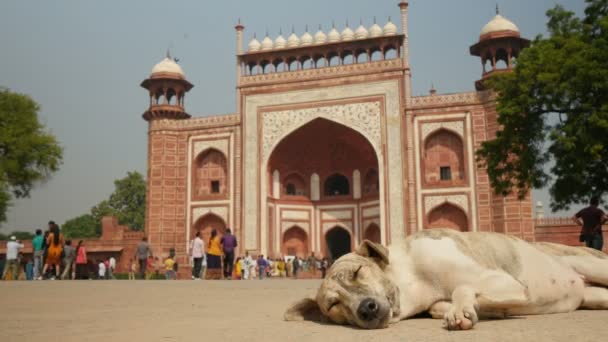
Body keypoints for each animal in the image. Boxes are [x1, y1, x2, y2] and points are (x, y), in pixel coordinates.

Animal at [284, 228, 608, 330]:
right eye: (334, 305)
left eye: (358, 272)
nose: (366, 308)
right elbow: (440, 304)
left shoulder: (508, 281)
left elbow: (464, 286)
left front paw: (461, 309)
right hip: (591, 296)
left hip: (590, 262)